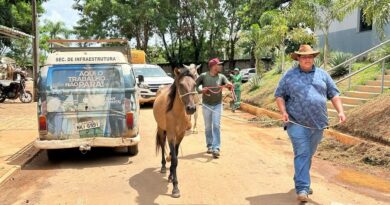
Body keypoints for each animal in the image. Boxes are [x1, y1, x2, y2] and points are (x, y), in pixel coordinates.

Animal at [153, 66, 198, 198]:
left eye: (194, 84)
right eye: (181, 85)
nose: (191, 108)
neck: (177, 114)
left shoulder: (180, 135)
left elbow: (175, 157)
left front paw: (171, 176)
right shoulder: (171, 135)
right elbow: (174, 159)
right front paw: (175, 187)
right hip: (161, 129)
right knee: (162, 145)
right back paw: (163, 166)